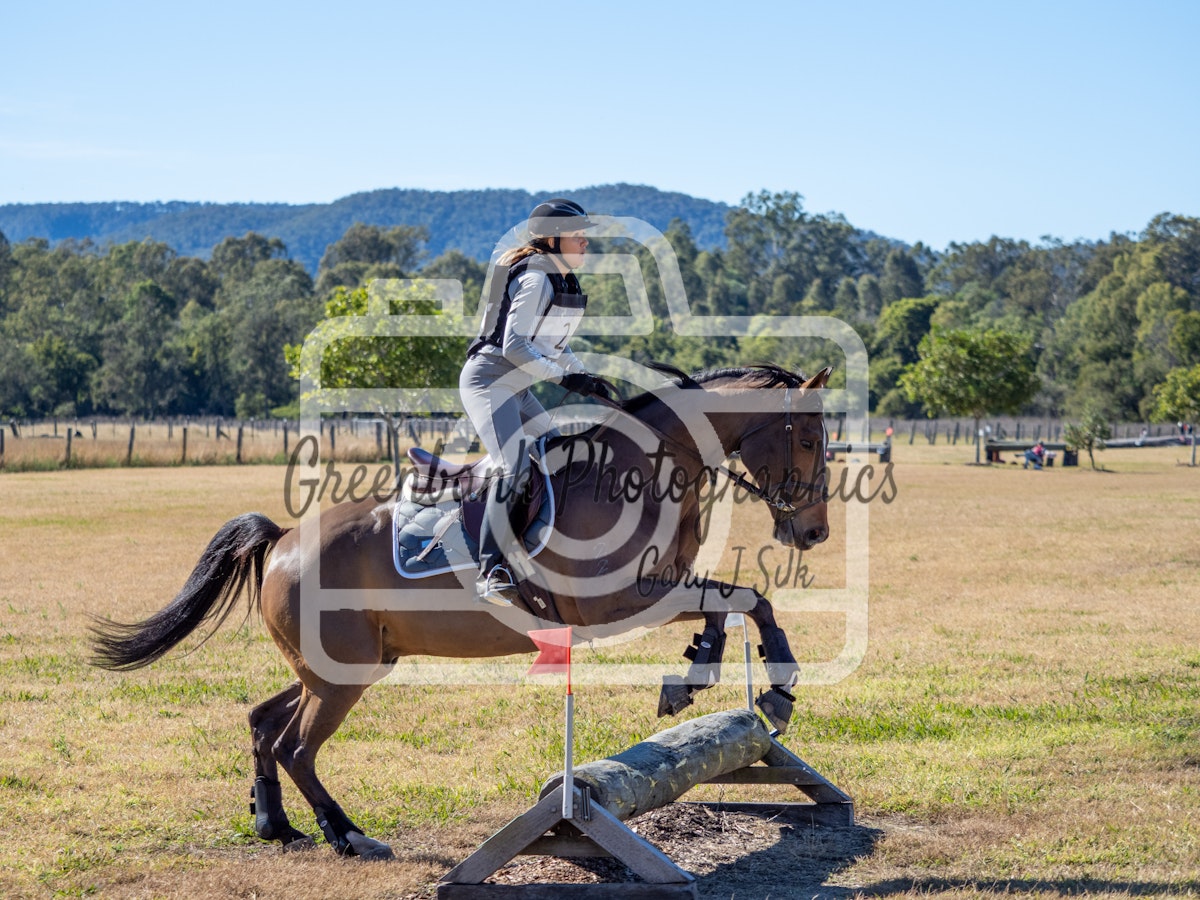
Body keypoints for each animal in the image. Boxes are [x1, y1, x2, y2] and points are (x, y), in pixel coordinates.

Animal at [90, 363, 832, 860]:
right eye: (807, 439)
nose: (815, 532)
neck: (648, 468)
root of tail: (283, 539)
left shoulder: (663, 584)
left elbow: (735, 602)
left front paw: (698, 676)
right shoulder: (619, 599)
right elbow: (742, 598)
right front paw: (771, 687)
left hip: (340, 665)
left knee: (264, 722)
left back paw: (276, 825)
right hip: (342, 675)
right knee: (297, 745)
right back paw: (350, 836)